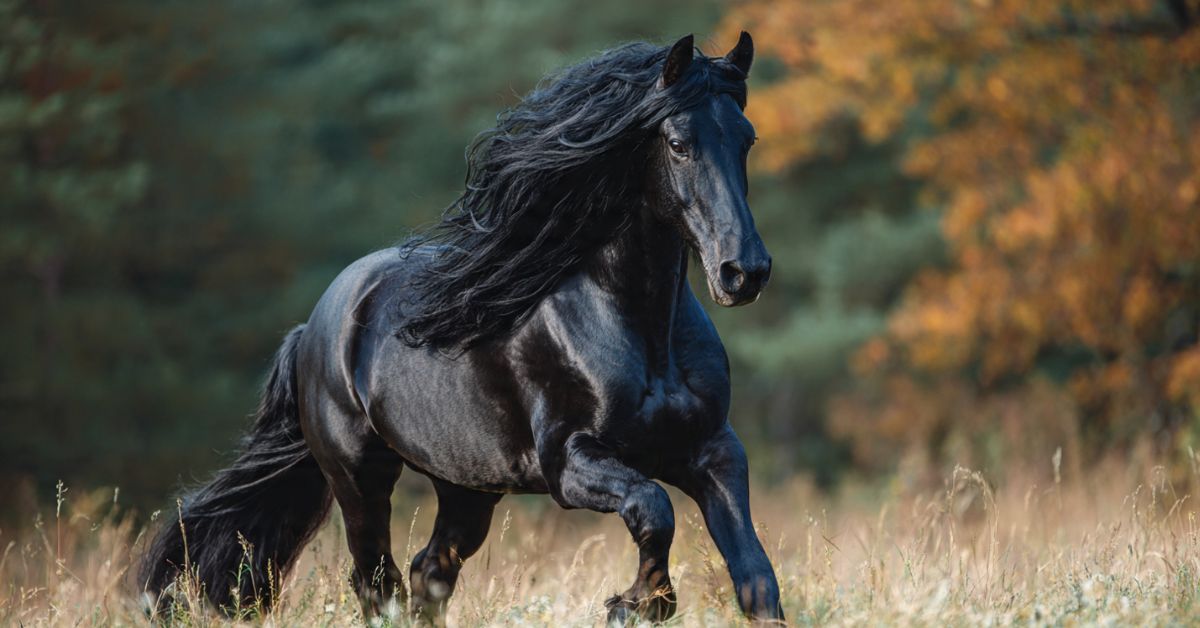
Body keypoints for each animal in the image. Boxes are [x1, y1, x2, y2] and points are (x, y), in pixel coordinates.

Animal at [141, 32, 783, 624]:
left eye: (747, 139)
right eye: (677, 144)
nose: (743, 272)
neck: (641, 328)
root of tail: (314, 327)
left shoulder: (713, 451)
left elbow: (755, 577)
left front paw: (644, 600)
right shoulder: (570, 462)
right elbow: (654, 508)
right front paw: (640, 601)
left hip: (466, 486)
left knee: (429, 573)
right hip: (360, 479)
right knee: (378, 582)